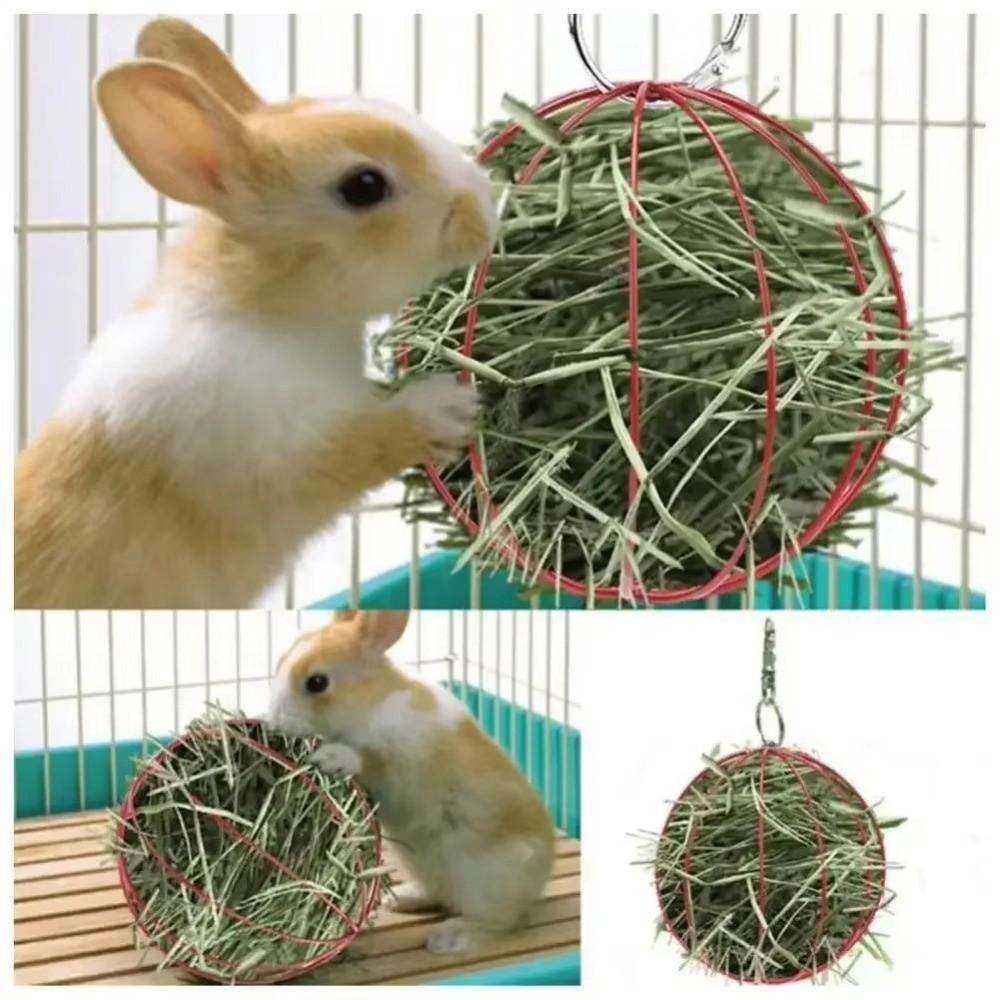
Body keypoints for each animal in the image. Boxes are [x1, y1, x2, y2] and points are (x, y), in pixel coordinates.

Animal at [14, 18, 496, 609]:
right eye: (364, 186)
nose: (486, 205)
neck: (266, 311)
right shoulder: (278, 456)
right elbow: (364, 442)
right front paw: (450, 405)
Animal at [268, 610, 556, 955]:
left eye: (317, 683)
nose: (273, 721)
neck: (372, 703)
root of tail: (540, 879)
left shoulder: (404, 763)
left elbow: (370, 760)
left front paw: (332, 758)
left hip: (483, 876)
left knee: (500, 920)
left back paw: (449, 937)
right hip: (422, 863)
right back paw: (401, 898)